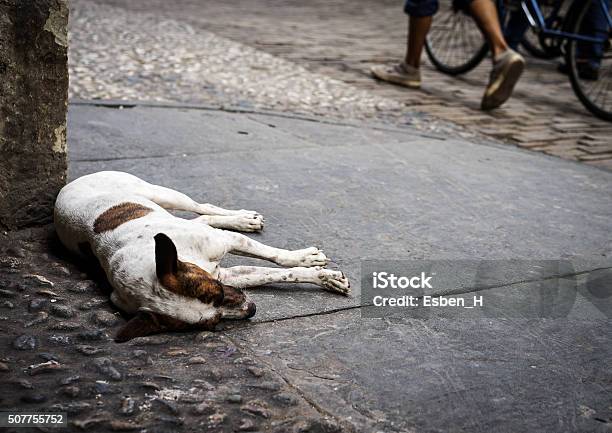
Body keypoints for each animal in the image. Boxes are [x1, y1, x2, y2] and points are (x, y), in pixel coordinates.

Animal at [55, 170, 352, 340]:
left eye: (218, 294)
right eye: (212, 322)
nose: (252, 310)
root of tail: (68, 185)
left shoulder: (226, 244)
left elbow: (278, 259)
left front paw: (309, 262)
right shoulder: (228, 276)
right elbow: (277, 274)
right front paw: (322, 276)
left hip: (161, 194)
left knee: (202, 207)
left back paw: (242, 218)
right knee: (203, 217)